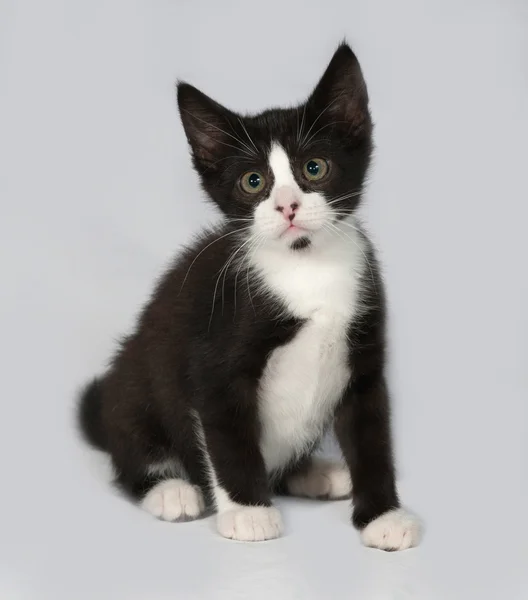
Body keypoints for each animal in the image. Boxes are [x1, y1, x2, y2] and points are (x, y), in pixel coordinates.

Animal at [78, 41, 420, 548]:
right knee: (131, 454)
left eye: (314, 168)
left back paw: (316, 473)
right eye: (253, 181)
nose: (288, 206)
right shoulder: (215, 359)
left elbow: (372, 438)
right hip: (133, 382)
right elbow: (229, 437)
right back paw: (169, 488)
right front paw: (248, 512)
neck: (306, 267)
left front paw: (383, 515)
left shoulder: (364, 355)